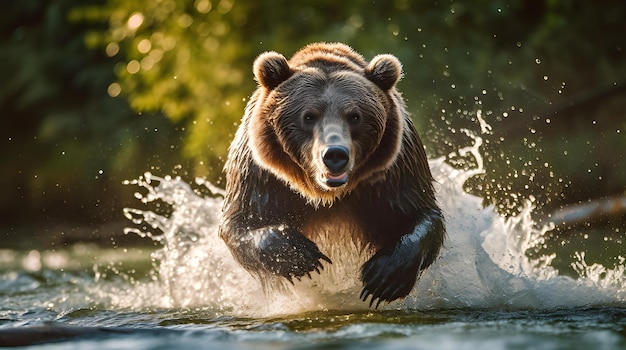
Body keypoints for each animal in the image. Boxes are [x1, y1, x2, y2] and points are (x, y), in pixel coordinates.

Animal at [219, 43, 444, 306]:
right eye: (308, 116)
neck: (326, 194)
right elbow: (242, 221)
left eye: (355, 116)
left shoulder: (395, 170)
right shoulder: (261, 174)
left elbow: (418, 214)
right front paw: (301, 255)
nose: (335, 154)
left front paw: (384, 277)